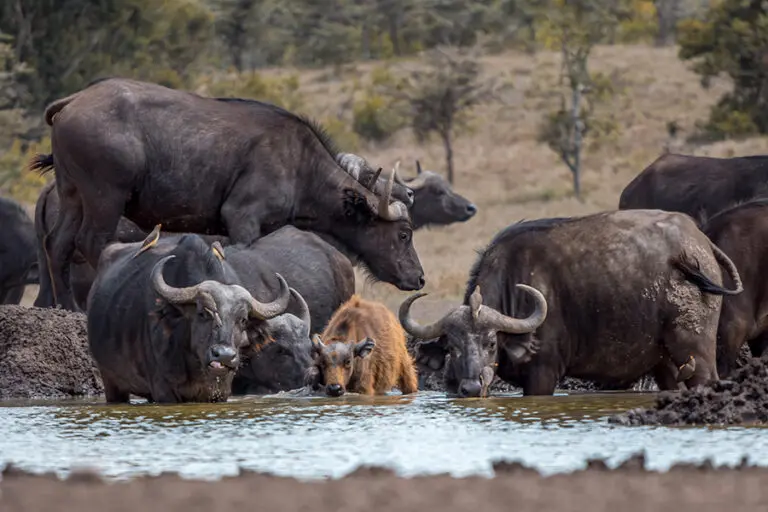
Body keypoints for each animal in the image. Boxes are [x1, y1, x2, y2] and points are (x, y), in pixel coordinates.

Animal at [33, 77, 423, 311]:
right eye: (404, 234)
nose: (419, 277)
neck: (300, 164)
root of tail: (74, 101)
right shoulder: (241, 218)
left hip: (72, 195)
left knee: (58, 244)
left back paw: (67, 306)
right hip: (105, 198)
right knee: (91, 241)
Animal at [87, 232, 292, 403]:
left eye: (242, 320)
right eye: (202, 314)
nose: (224, 355)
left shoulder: (221, 391)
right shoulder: (163, 390)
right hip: (111, 381)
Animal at [402, 210, 743, 396]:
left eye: (490, 343)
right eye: (453, 346)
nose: (471, 388)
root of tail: (698, 241)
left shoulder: (543, 373)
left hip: (694, 345)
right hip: (665, 361)